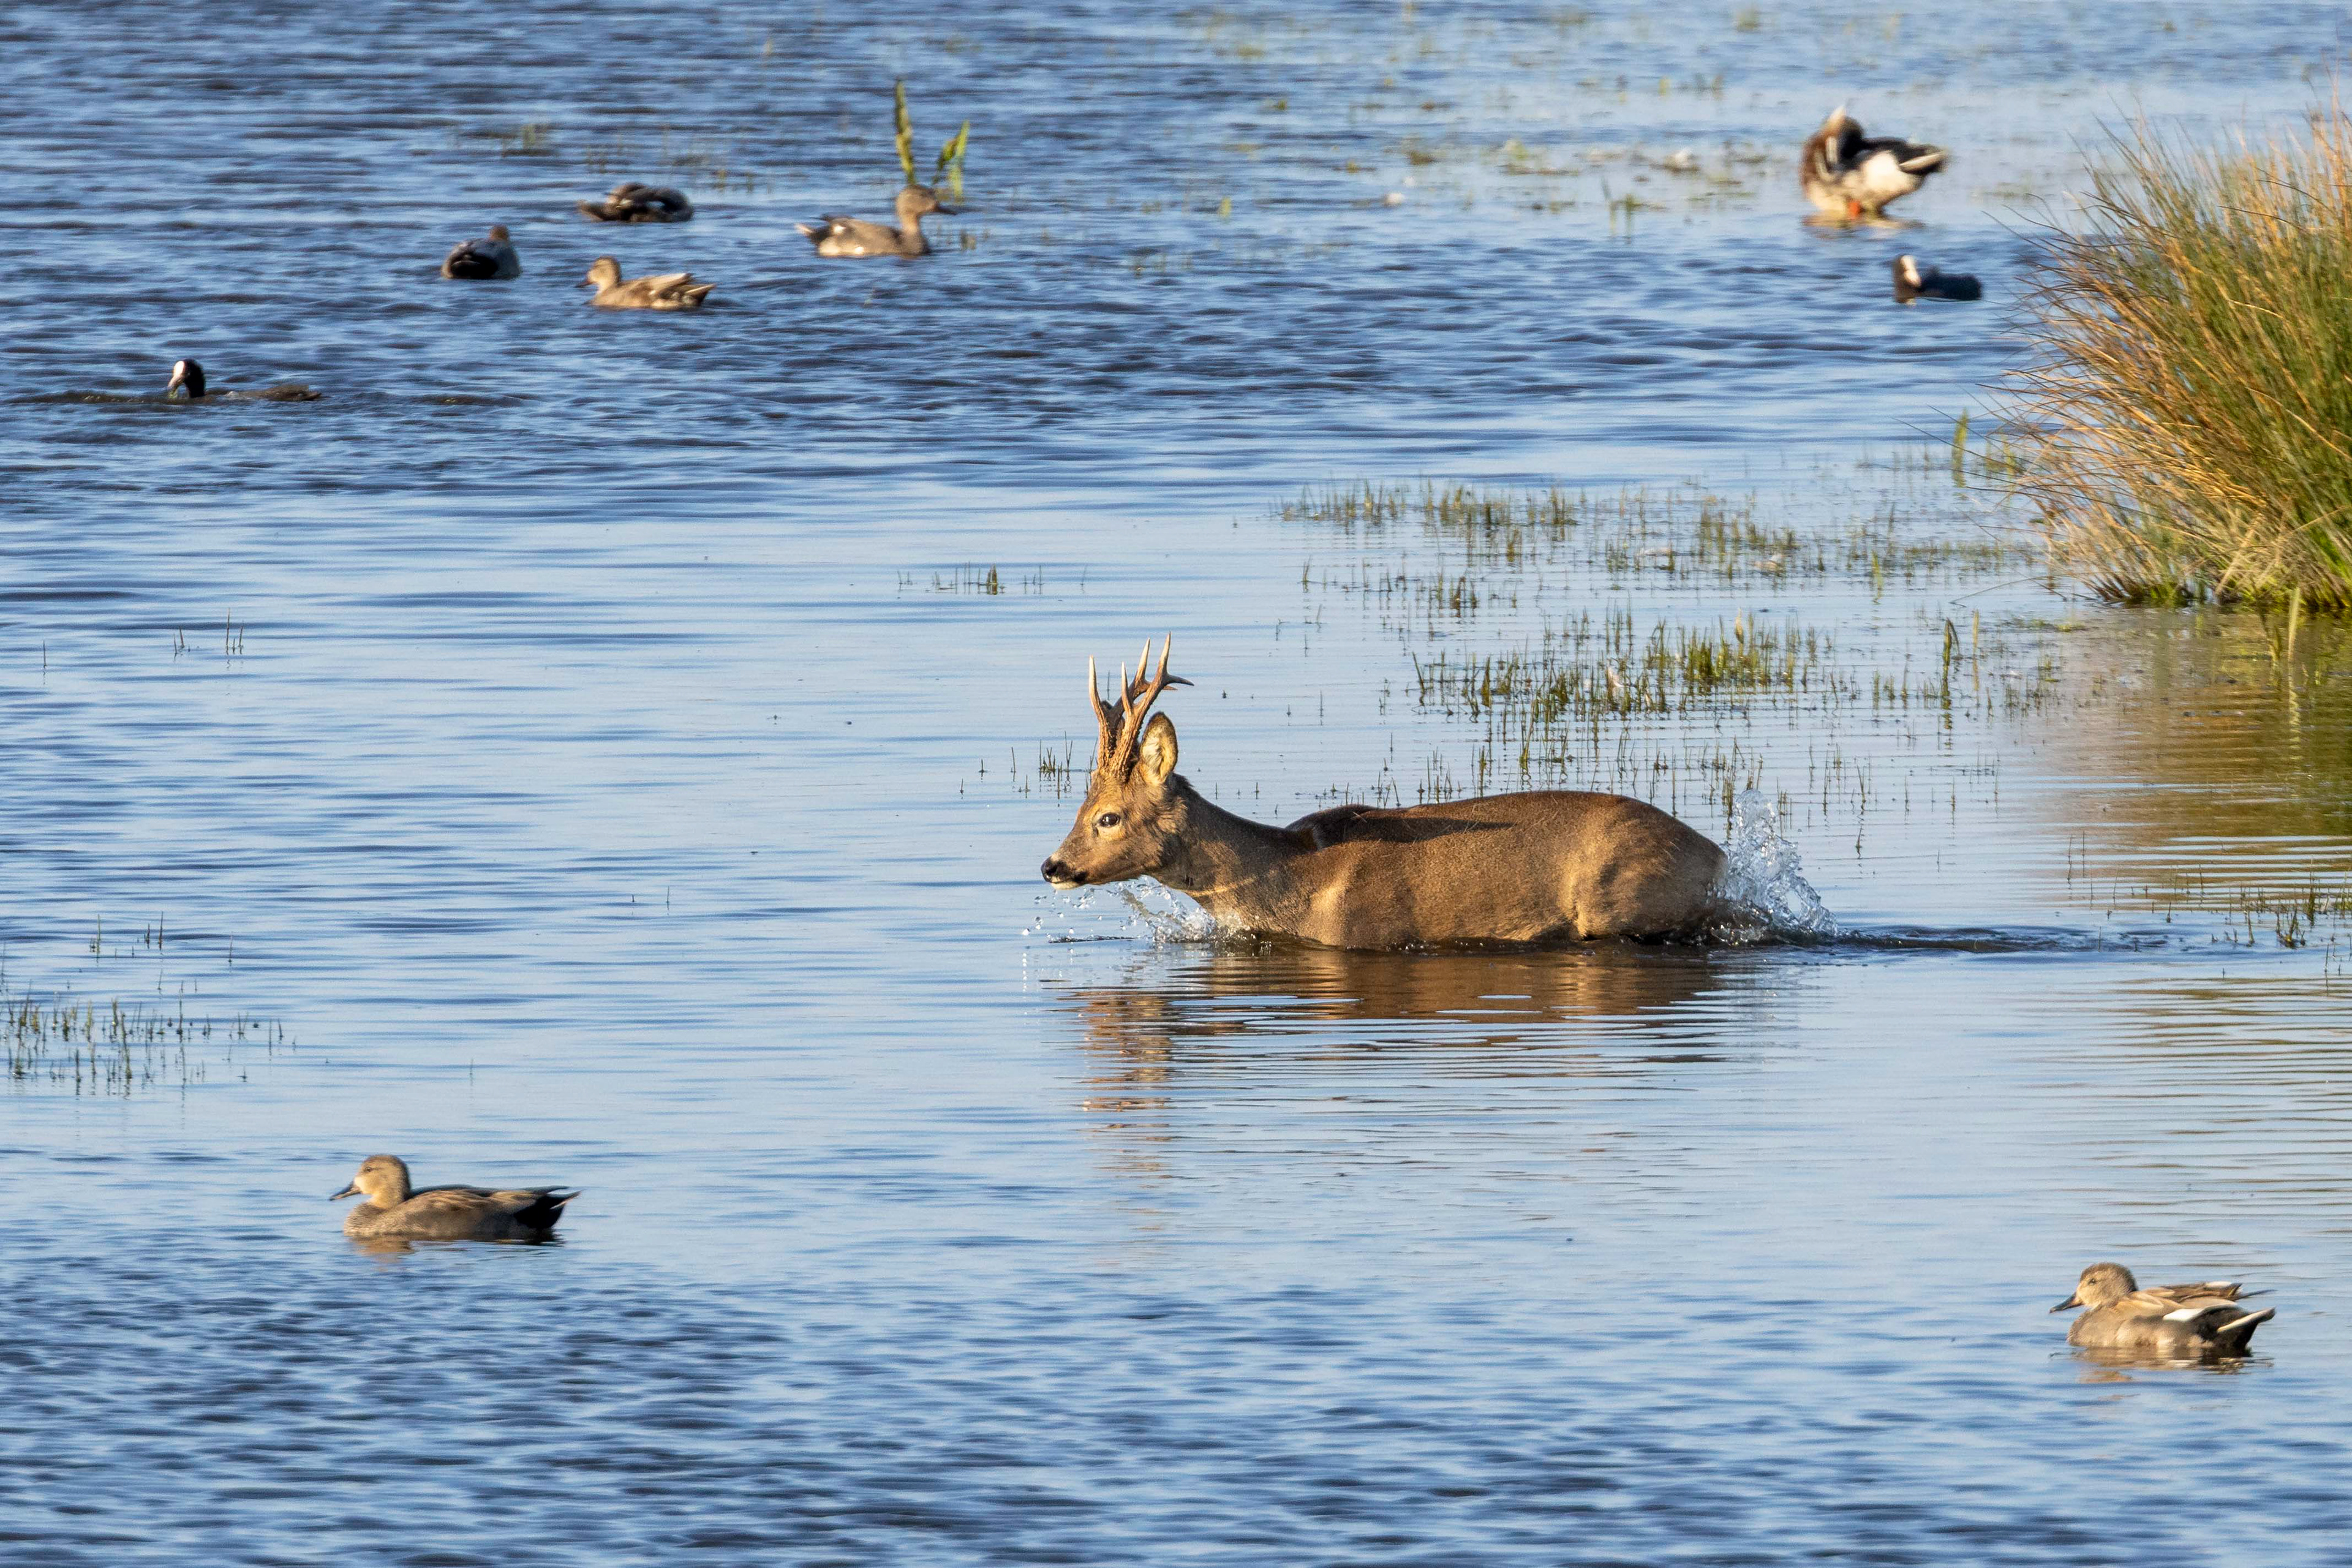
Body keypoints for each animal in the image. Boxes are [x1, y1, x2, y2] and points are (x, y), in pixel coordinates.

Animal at [1039, 638, 1728, 949]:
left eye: (1107, 817)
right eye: (1078, 806)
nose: (1052, 866)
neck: (1293, 879)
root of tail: (1717, 855)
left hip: (1624, 896)